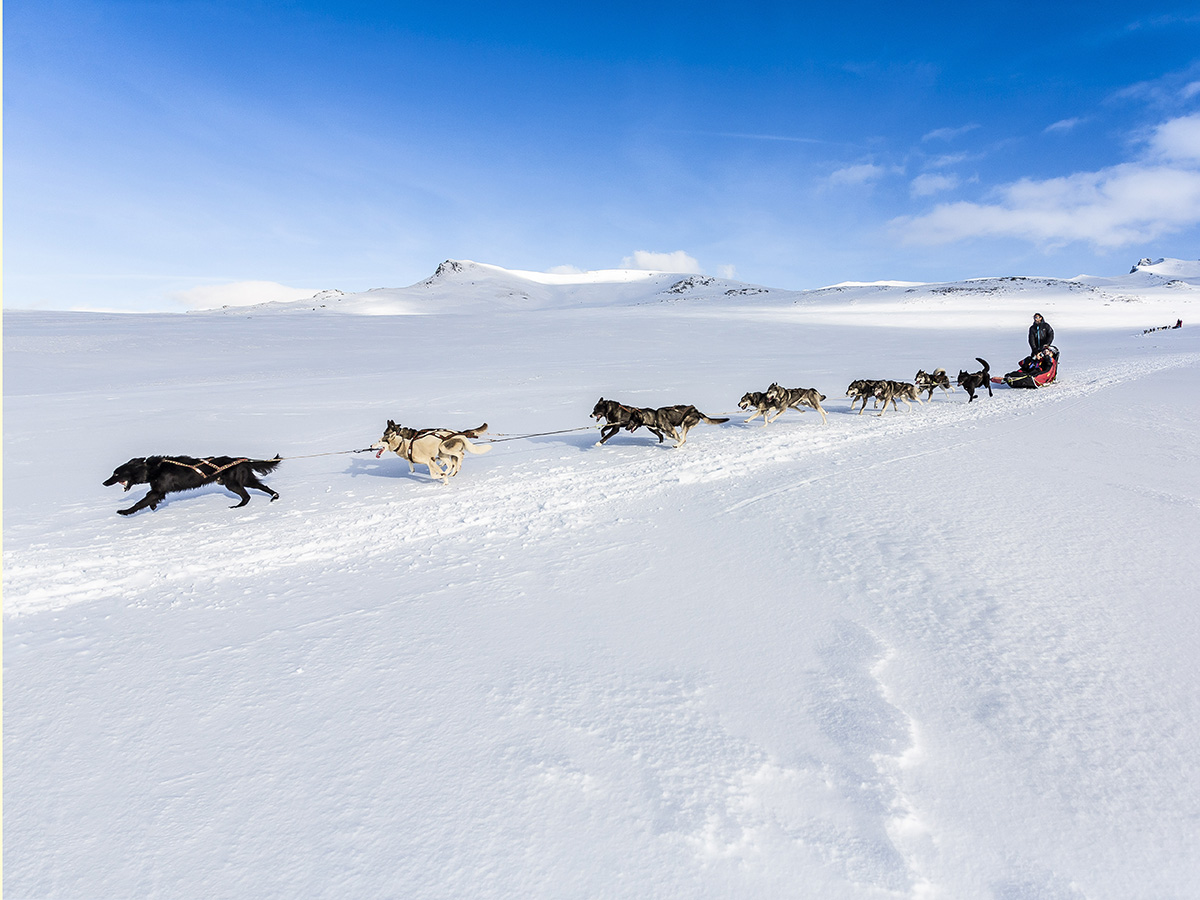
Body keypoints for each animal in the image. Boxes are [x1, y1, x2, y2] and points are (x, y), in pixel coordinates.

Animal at [103, 453, 280, 518]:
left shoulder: (158, 490)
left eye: (116, 474)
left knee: (247, 496)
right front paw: (153, 506)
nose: (104, 483)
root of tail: (243, 460)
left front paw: (124, 511)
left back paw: (237, 507)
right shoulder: (158, 491)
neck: (152, 469)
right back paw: (274, 496)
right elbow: (148, 499)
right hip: (244, 480)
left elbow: (140, 502)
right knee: (260, 489)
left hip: (232, 483)